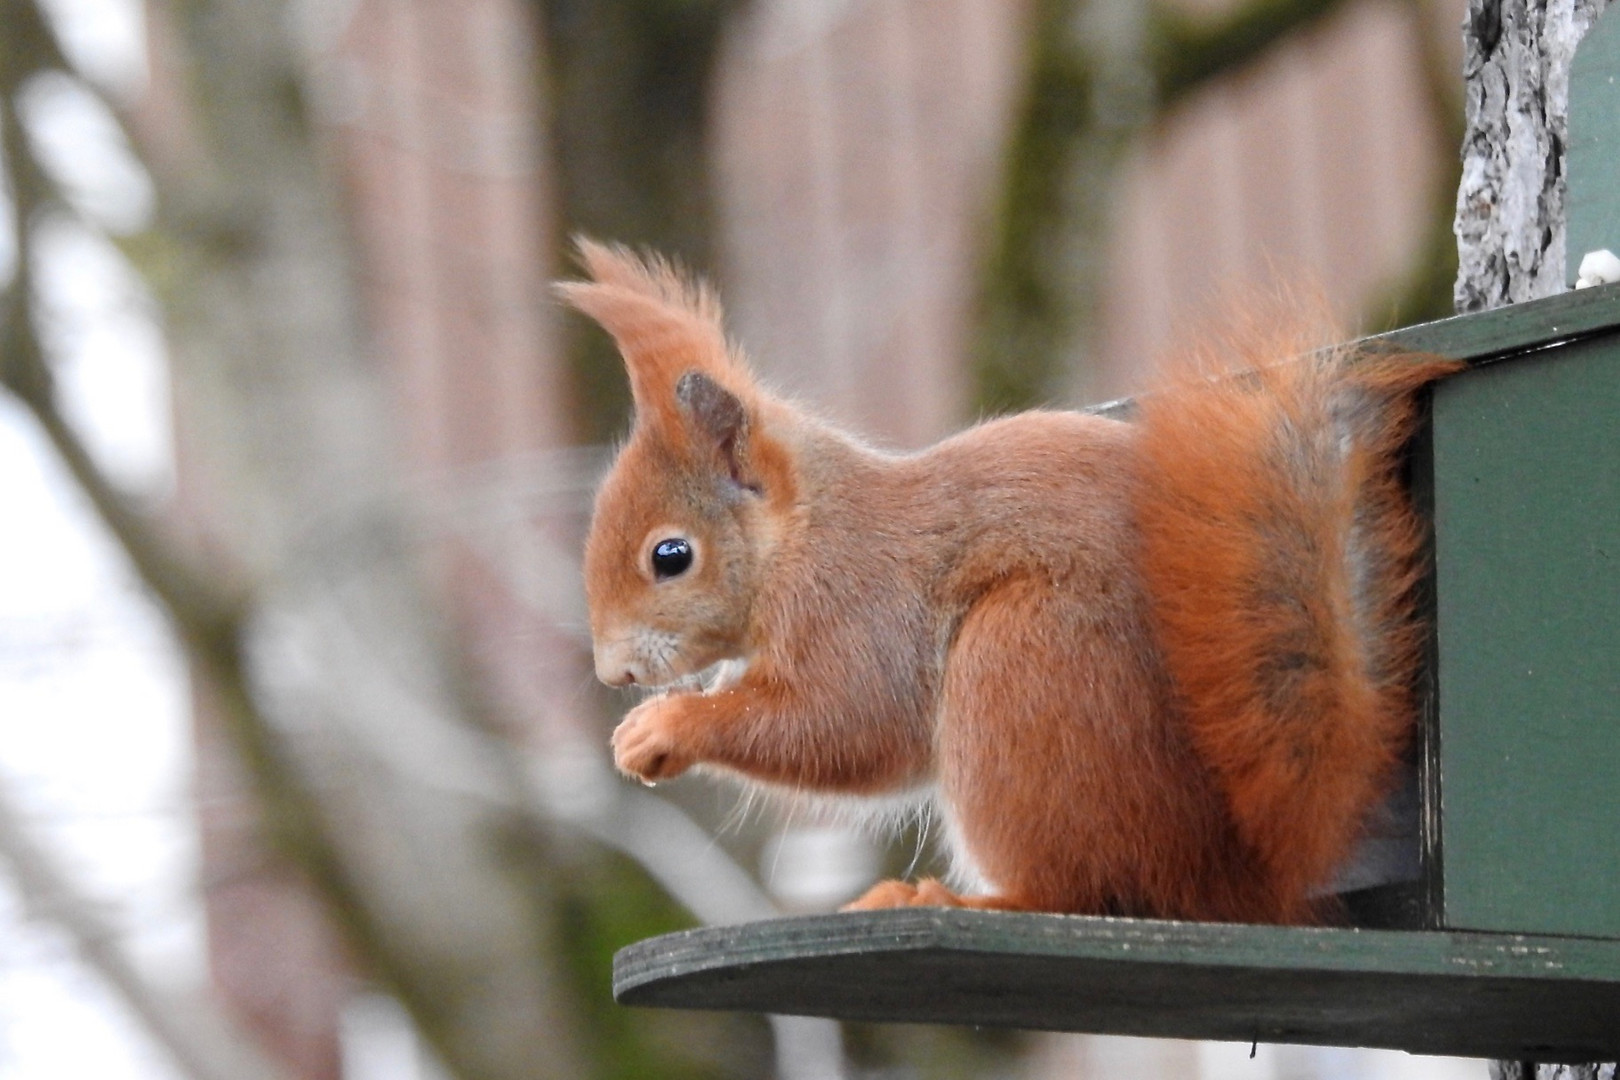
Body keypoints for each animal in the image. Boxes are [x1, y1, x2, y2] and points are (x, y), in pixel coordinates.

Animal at [563, 241, 1464, 926]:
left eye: (671, 555)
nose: (614, 673)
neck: (805, 533)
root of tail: (1245, 878)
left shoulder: (860, 602)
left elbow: (844, 723)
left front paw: (663, 727)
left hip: (1024, 668)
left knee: (1080, 890)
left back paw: (958, 902)